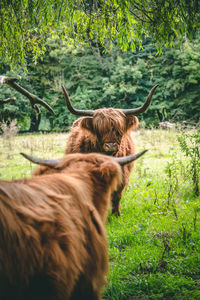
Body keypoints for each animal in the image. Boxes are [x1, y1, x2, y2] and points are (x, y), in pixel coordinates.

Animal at [62, 84, 158, 216]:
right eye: (99, 130)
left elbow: (117, 195)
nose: (111, 146)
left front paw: (116, 214)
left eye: (118, 130)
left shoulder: (123, 174)